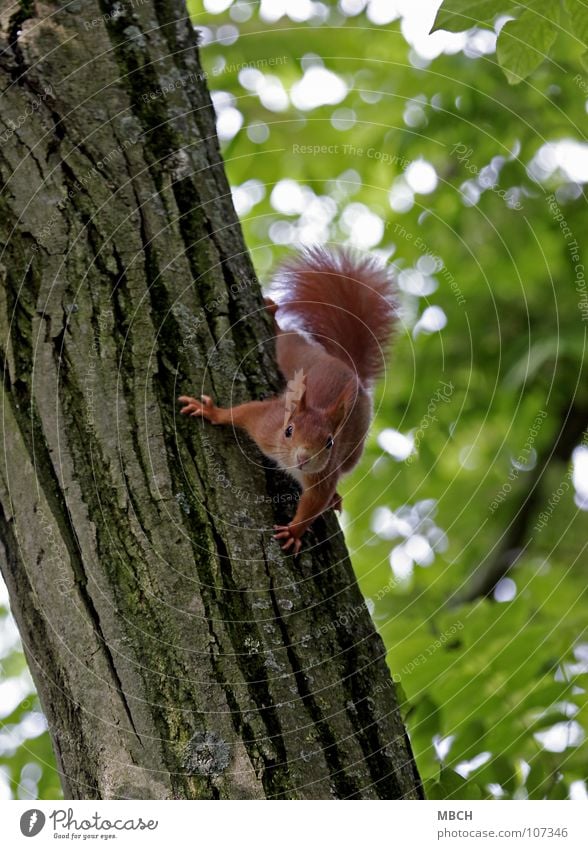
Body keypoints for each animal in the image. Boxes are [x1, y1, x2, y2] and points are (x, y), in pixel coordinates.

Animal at [179, 245, 398, 552]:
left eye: (329, 442)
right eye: (289, 430)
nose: (305, 457)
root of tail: (344, 364)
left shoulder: (324, 474)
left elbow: (314, 503)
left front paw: (294, 531)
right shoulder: (266, 424)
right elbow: (242, 413)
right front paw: (209, 411)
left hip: (354, 451)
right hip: (296, 354)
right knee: (285, 338)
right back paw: (272, 317)